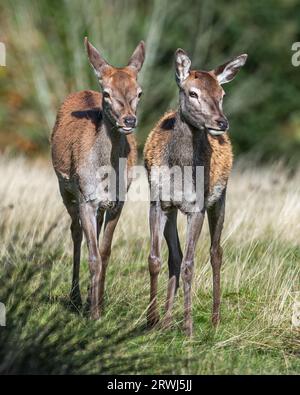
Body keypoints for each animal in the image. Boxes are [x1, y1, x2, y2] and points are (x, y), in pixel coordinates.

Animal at [144, 48, 247, 336]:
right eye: (193, 93)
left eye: (222, 94)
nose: (221, 123)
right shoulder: (157, 201)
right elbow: (156, 259)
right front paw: (151, 321)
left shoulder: (197, 206)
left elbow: (190, 265)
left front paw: (188, 328)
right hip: (173, 210)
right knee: (175, 257)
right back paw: (167, 321)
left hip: (220, 199)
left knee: (216, 252)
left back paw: (214, 320)